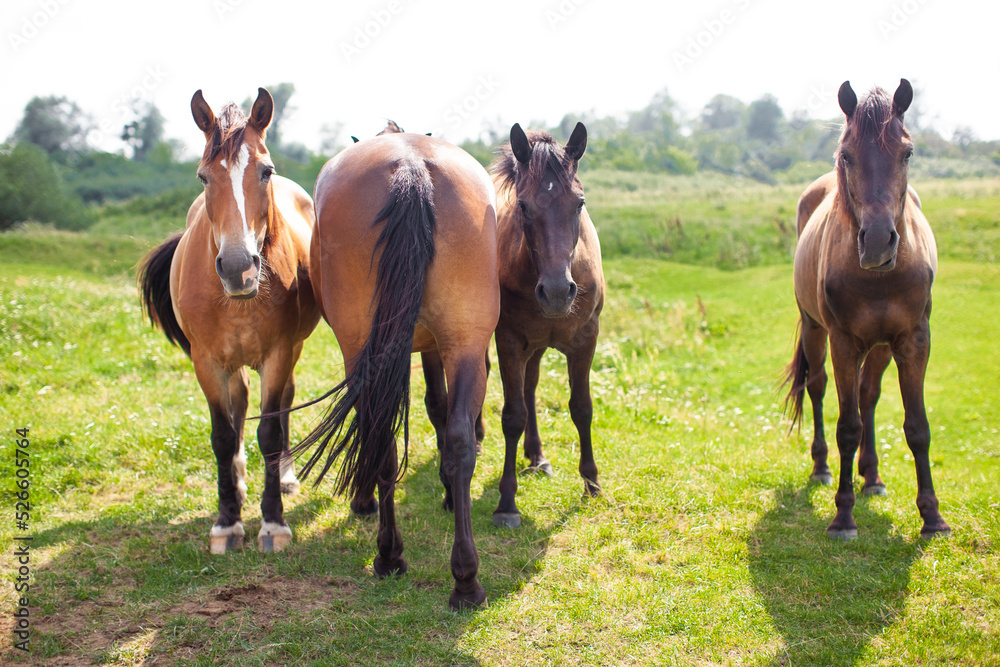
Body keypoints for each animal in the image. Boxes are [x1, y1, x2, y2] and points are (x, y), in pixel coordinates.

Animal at [138, 90, 320, 560]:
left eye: (265, 171)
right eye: (203, 177)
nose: (239, 268)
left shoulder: (278, 354)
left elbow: (270, 431)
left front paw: (272, 523)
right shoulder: (207, 361)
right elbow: (222, 435)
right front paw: (227, 522)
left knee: (282, 403)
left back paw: (283, 476)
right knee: (238, 406)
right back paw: (236, 481)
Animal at [296, 130, 500, 612]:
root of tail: (411, 164)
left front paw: (363, 499)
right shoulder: (429, 347)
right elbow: (440, 412)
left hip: (363, 346)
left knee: (381, 434)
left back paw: (389, 555)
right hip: (464, 340)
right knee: (457, 439)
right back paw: (466, 580)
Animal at [488, 122, 604, 528]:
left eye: (579, 203)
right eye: (524, 206)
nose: (556, 293)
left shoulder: (586, 339)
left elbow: (581, 407)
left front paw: (592, 482)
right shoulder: (508, 340)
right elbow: (512, 415)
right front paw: (507, 502)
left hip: (537, 347)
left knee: (531, 387)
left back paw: (537, 456)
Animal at [784, 78, 948, 540]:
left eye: (907, 152)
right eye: (846, 155)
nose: (877, 242)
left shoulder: (912, 340)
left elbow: (917, 427)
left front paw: (932, 517)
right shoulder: (843, 342)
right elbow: (848, 427)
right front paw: (843, 516)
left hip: (880, 347)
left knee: (868, 394)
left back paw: (872, 477)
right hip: (815, 330)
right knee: (819, 388)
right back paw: (822, 468)